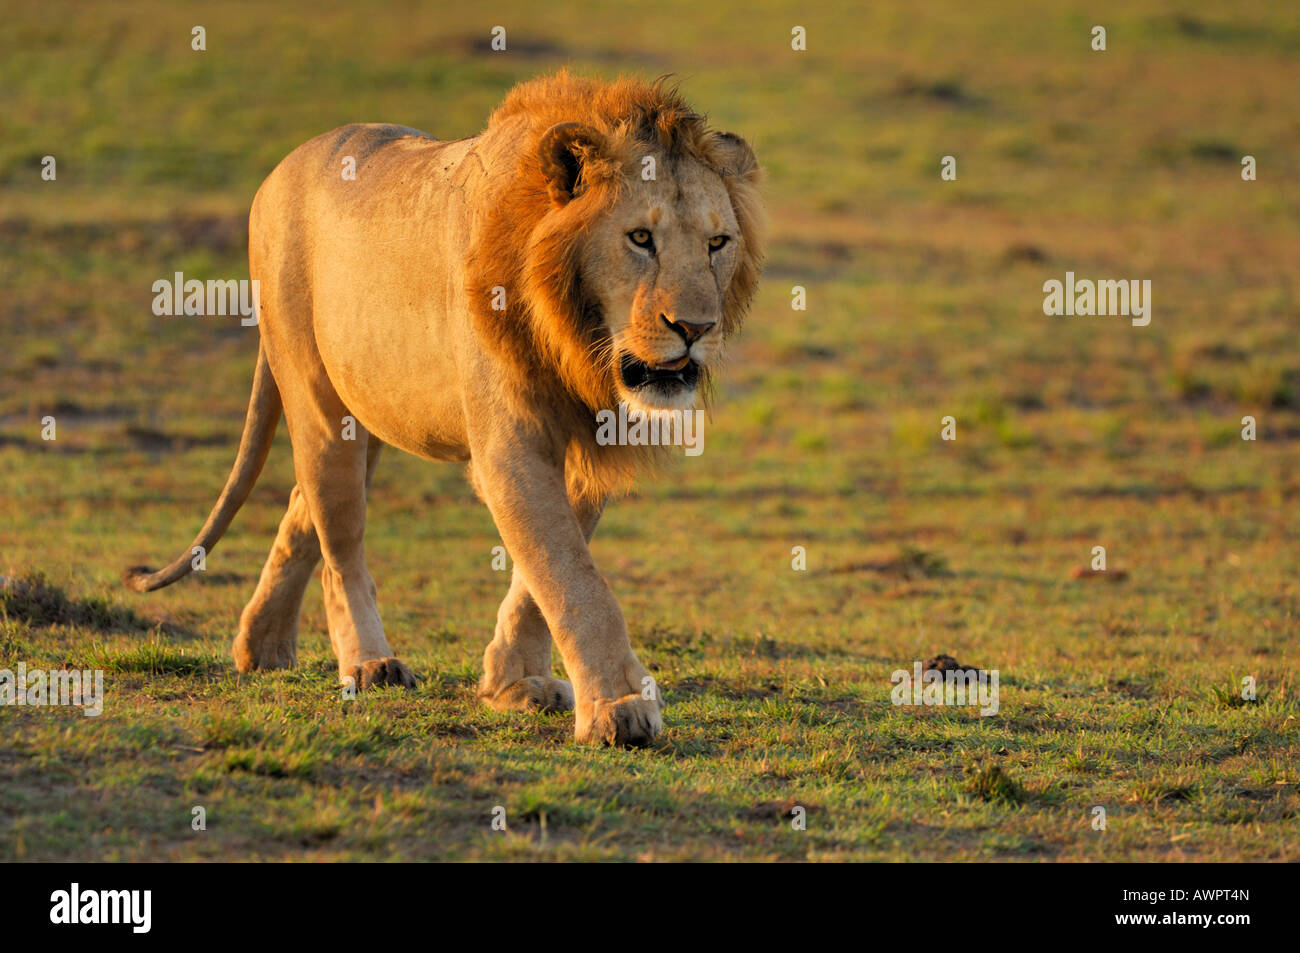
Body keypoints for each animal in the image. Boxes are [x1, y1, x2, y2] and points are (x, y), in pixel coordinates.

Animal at [123, 71, 764, 746]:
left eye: (717, 243)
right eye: (641, 238)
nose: (695, 328)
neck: (577, 338)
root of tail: (279, 170)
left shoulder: (589, 440)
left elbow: (546, 574)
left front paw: (515, 683)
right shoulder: (509, 445)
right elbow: (573, 577)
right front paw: (619, 708)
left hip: (368, 408)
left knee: (303, 509)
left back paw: (262, 647)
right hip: (315, 397)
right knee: (339, 540)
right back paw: (368, 664)